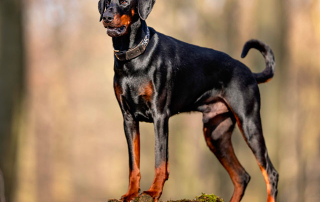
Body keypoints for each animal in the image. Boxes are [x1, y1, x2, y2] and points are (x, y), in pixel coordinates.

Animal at [99, 0, 278, 201]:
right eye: (107, 2)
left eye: (125, 1)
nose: (106, 17)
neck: (133, 57)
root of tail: (250, 74)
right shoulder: (128, 118)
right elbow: (133, 162)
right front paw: (131, 193)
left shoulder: (160, 116)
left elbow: (160, 160)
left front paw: (153, 191)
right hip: (215, 134)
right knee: (241, 176)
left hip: (248, 123)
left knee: (270, 173)